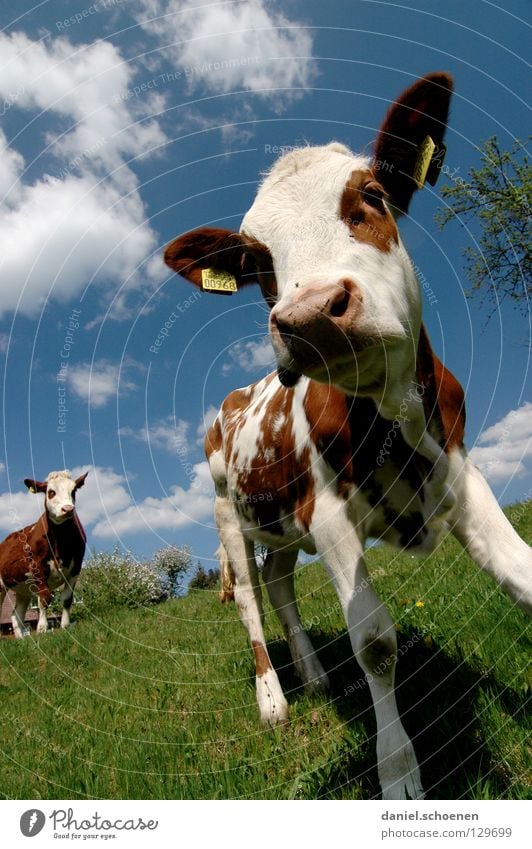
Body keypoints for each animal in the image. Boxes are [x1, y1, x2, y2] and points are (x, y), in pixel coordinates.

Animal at [0, 470, 87, 636]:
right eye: (51, 492)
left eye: (73, 491)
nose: (68, 509)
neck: (61, 541)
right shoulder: (38, 566)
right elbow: (44, 598)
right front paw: (42, 629)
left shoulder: (76, 567)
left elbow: (67, 599)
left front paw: (65, 626)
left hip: (23, 589)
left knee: (16, 615)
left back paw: (23, 638)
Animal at [164, 73, 528, 796]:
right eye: (256, 262)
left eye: (372, 196)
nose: (308, 315)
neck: (391, 411)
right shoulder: (328, 512)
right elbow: (375, 642)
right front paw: (399, 771)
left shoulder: (460, 474)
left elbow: (523, 577)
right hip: (226, 511)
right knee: (248, 599)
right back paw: (274, 699)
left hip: (279, 520)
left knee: (279, 583)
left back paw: (312, 674)